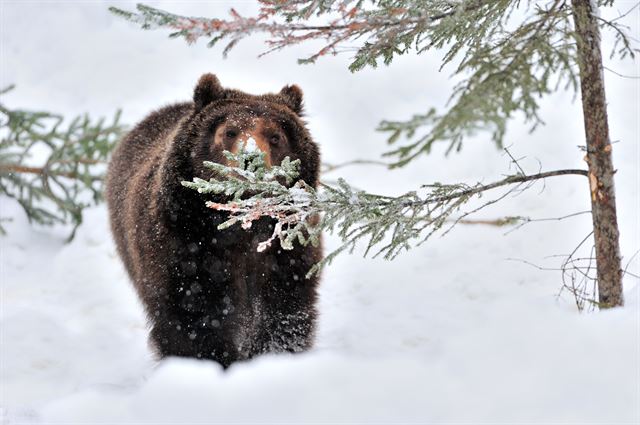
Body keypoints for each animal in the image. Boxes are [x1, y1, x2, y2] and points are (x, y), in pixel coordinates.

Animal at [108, 73, 324, 368]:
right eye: (230, 131)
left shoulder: (287, 250)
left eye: (275, 136)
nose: (250, 159)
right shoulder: (187, 247)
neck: (241, 224)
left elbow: (282, 313)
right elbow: (194, 318)